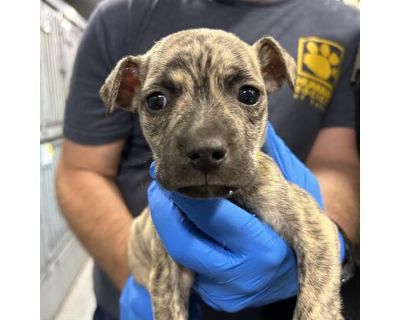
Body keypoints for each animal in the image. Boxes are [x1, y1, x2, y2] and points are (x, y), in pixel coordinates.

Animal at [101, 28, 342, 320]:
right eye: (156, 101)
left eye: (249, 94)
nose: (205, 151)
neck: (222, 199)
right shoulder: (166, 275)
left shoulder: (313, 228)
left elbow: (315, 304)